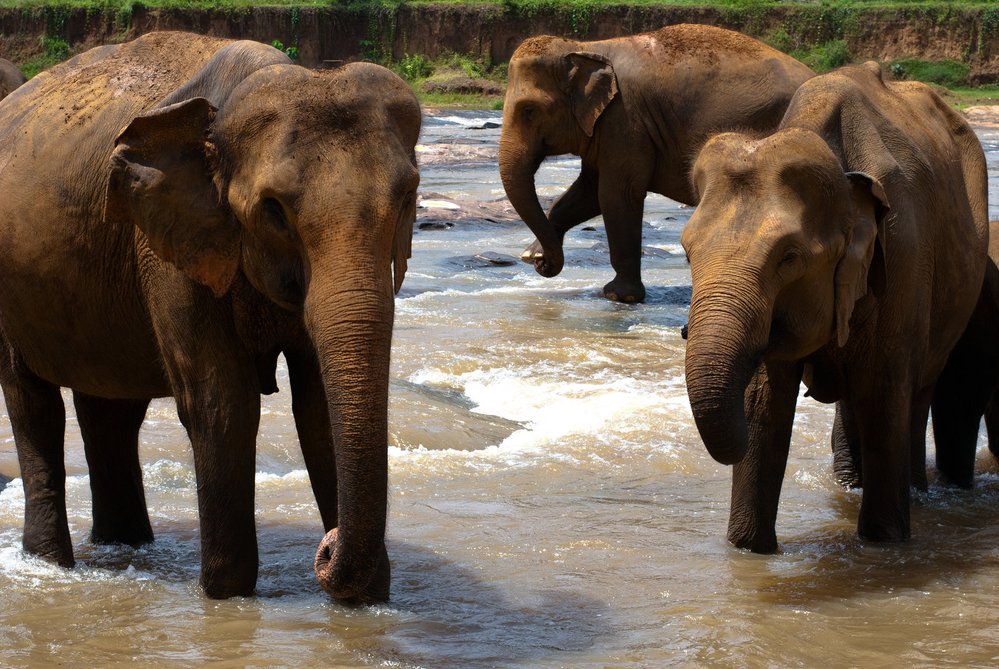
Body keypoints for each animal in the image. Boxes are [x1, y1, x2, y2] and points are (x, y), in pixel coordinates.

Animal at [0, 32, 420, 604]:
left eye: (408, 198)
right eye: (273, 211)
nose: (326, 547)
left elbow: (316, 406)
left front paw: (365, 598)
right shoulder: (167, 246)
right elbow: (223, 401)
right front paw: (227, 594)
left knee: (110, 409)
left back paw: (126, 547)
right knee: (32, 402)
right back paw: (52, 564)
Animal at [496, 22, 816, 300]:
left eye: (529, 111)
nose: (541, 265)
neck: (586, 47)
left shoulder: (626, 121)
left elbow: (615, 194)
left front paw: (619, 296)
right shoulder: (605, 128)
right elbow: (587, 193)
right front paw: (533, 253)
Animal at [684, 62, 988, 552]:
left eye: (789, 258)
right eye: (687, 253)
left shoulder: (903, 253)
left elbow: (883, 392)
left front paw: (884, 543)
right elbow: (765, 401)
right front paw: (748, 548)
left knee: (914, 392)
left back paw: (914, 494)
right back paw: (847, 483)